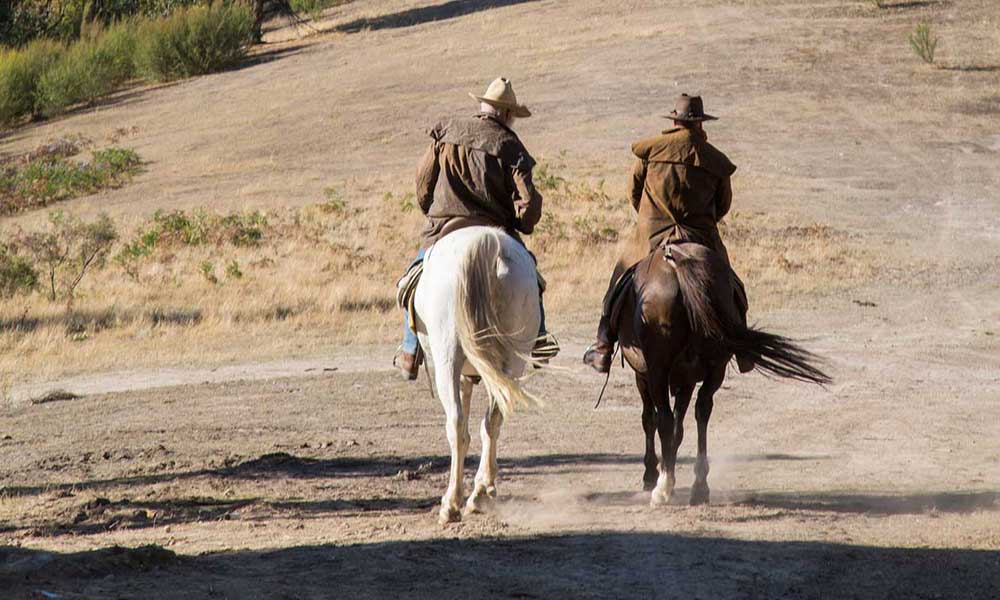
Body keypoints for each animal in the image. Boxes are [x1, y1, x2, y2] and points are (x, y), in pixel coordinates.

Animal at [412, 225, 544, 524]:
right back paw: (482, 492)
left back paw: (451, 503)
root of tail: (487, 242)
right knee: (493, 421)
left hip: (447, 358)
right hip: (512, 361)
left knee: (456, 426)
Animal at [616, 241, 828, 504]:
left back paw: (662, 488)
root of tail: (678, 263)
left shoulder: (644, 376)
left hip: (658, 371)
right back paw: (699, 486)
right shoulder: (685, 380)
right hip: (715, 367)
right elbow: (679, 426)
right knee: (702, 410)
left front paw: (650, 474)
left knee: (665, 418)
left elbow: (651, 419)